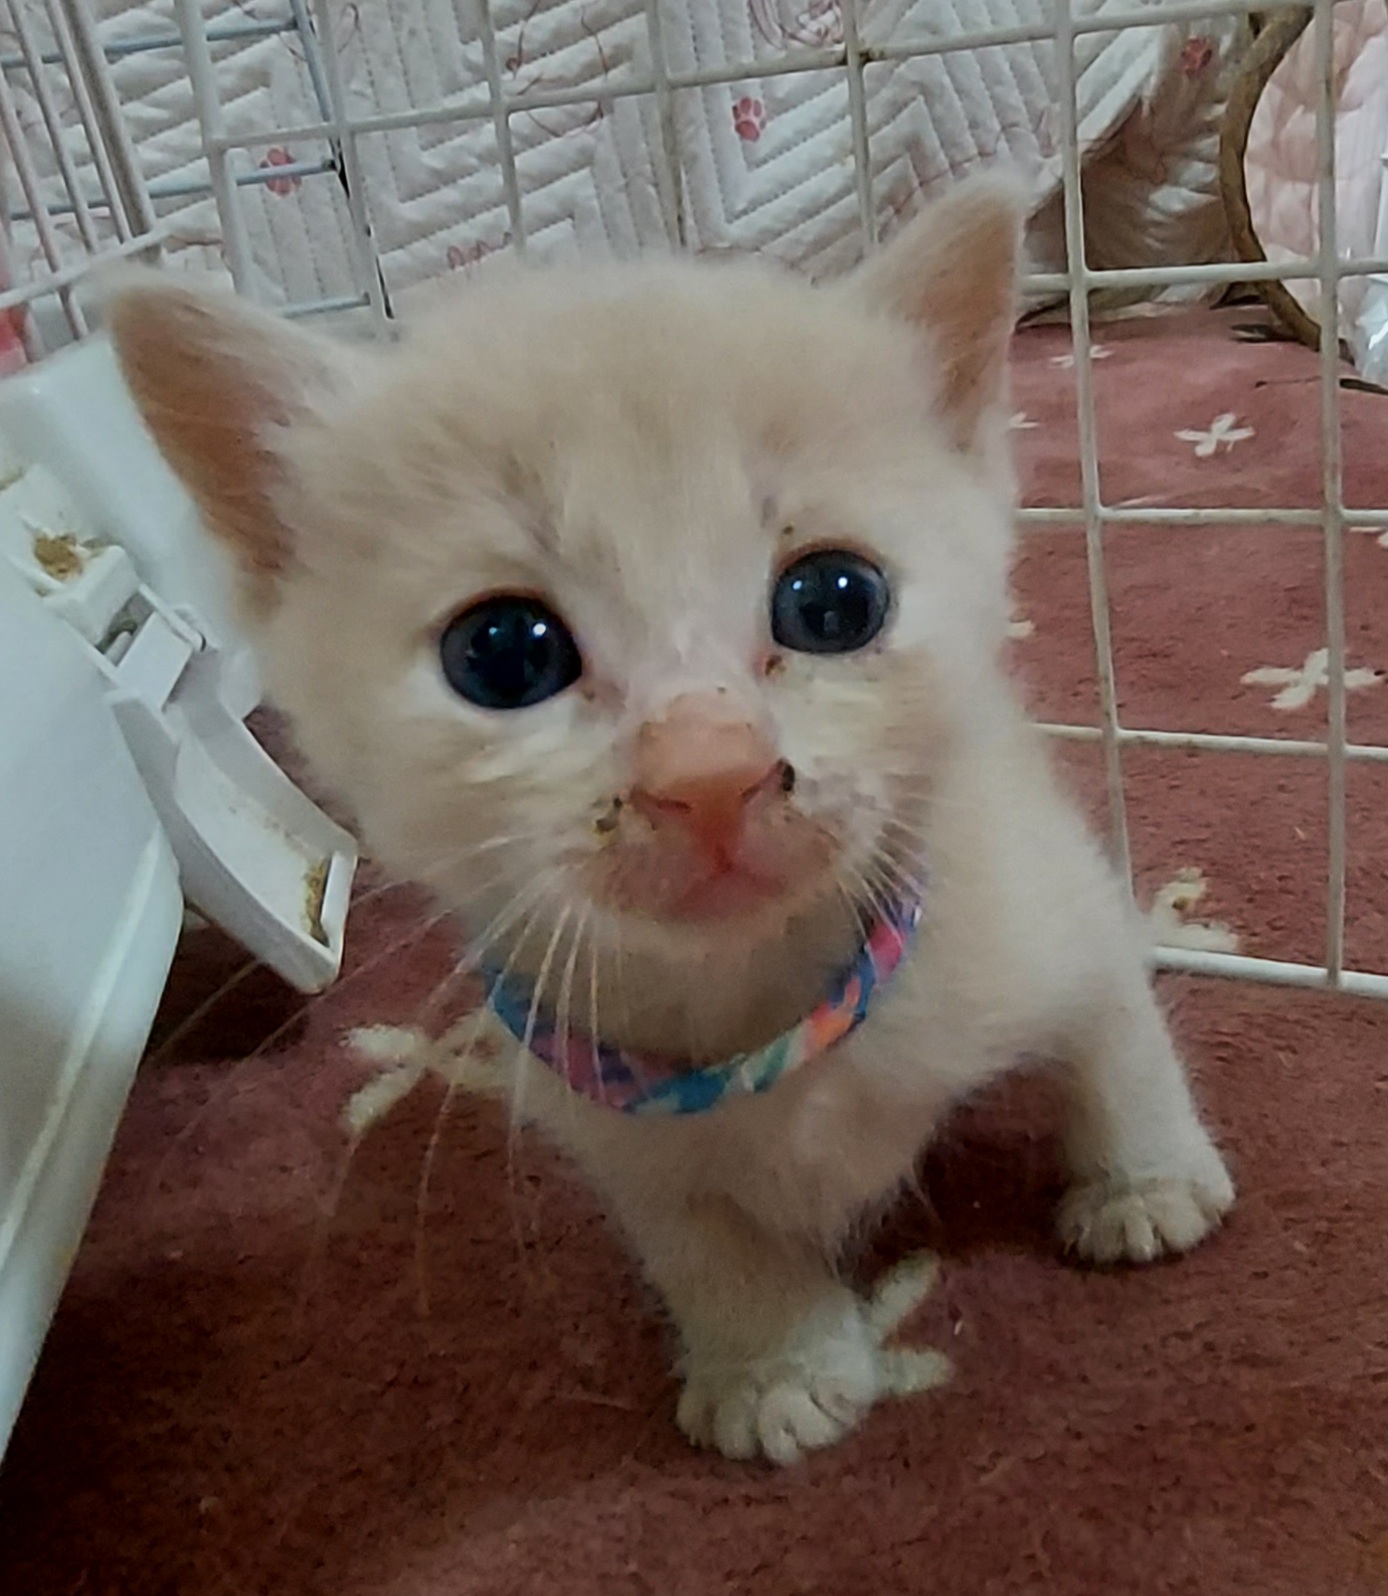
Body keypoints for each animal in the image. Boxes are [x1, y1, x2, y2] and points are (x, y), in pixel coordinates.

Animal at [108, 175, 1234, 1466]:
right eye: (501, 653)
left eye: (833, 600)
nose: (708, 770)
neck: (761, 1013)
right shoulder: (608, 1118)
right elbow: (700, 1237)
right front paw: (773, 1367)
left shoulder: (1032, 884)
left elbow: (1111, 1025)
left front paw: (1143, 1183)